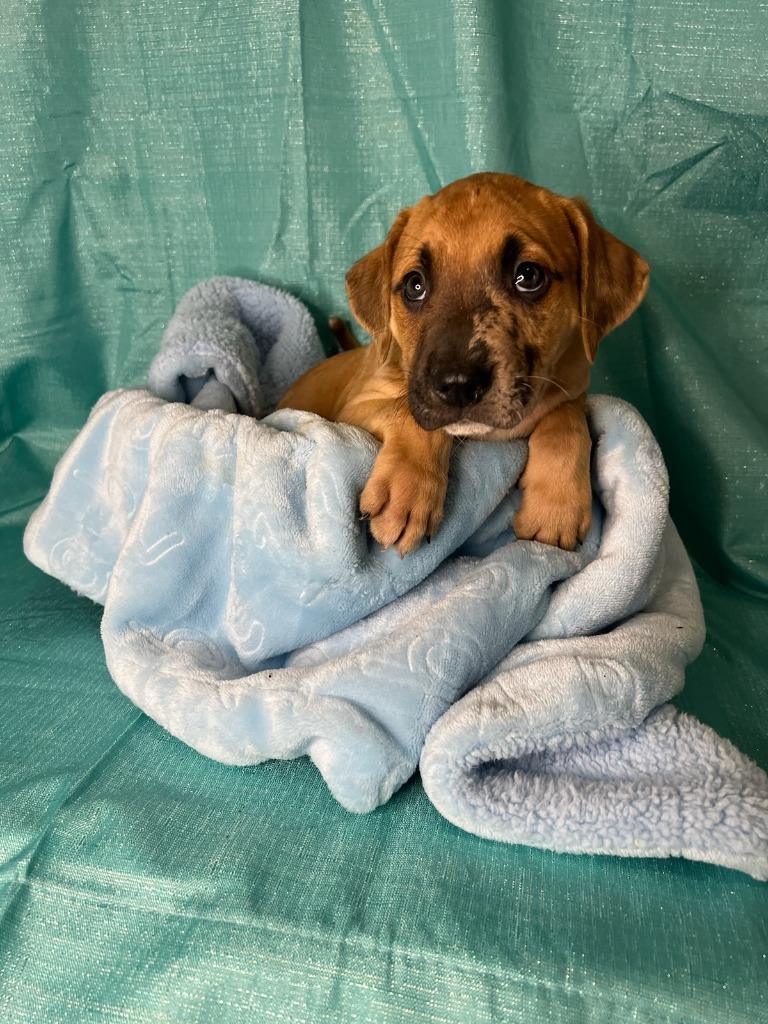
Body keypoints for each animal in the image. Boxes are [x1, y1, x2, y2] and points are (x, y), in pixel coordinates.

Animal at [278, 177, 651, 561]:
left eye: (528, 276)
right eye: (414, 285)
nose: (458, 384)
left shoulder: (571, 389)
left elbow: (566, 422)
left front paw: (557, 505)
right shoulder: (353, 409)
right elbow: (411, 414)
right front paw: (406, 488)